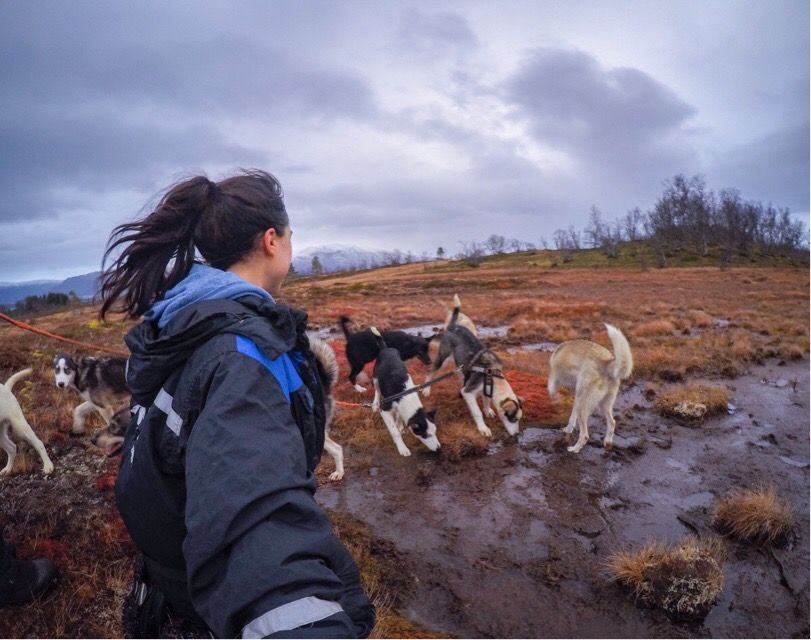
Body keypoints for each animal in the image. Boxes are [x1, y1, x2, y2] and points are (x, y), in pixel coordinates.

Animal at [422, 296, 524, 438]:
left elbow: (486, 401)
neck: (493, 377)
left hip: (460, 365)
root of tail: (453, 326)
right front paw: (483, 428)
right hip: (443, 360)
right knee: (429, 372)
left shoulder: (486, 389)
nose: (516, 435)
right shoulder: (469, 392)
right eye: (513, 419)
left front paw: (488, 410)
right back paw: (426, 389)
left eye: (518, 419)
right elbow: (477, 412)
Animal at [548, 324, 632, 456]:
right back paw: (607, 442)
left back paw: (574, 449)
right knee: (612, 422)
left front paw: (556, 401)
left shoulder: (554, 378)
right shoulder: (577, 397)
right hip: (603, 405)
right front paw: (568, 429)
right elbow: (572, 418)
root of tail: (606, 363)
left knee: (585, 435)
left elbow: (551, 390)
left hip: (585, 407)